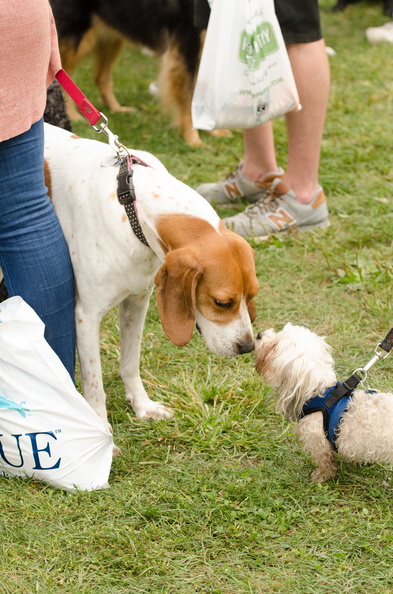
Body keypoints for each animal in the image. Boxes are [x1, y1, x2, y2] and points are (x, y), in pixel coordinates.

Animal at [43, 122, 260, 424]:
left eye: (251, 295)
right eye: (221, 302)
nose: (248, 347)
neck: (130, 206)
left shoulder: (137, 302)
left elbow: (130, 362)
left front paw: (142, 406)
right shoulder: (86, 316)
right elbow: (95, 385)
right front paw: (101, 430)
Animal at [254, 324, 392, 480]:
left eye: (274, 346)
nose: (259, 334)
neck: (321, 393)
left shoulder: (318, 439)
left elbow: (325, 460)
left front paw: (321, 475)